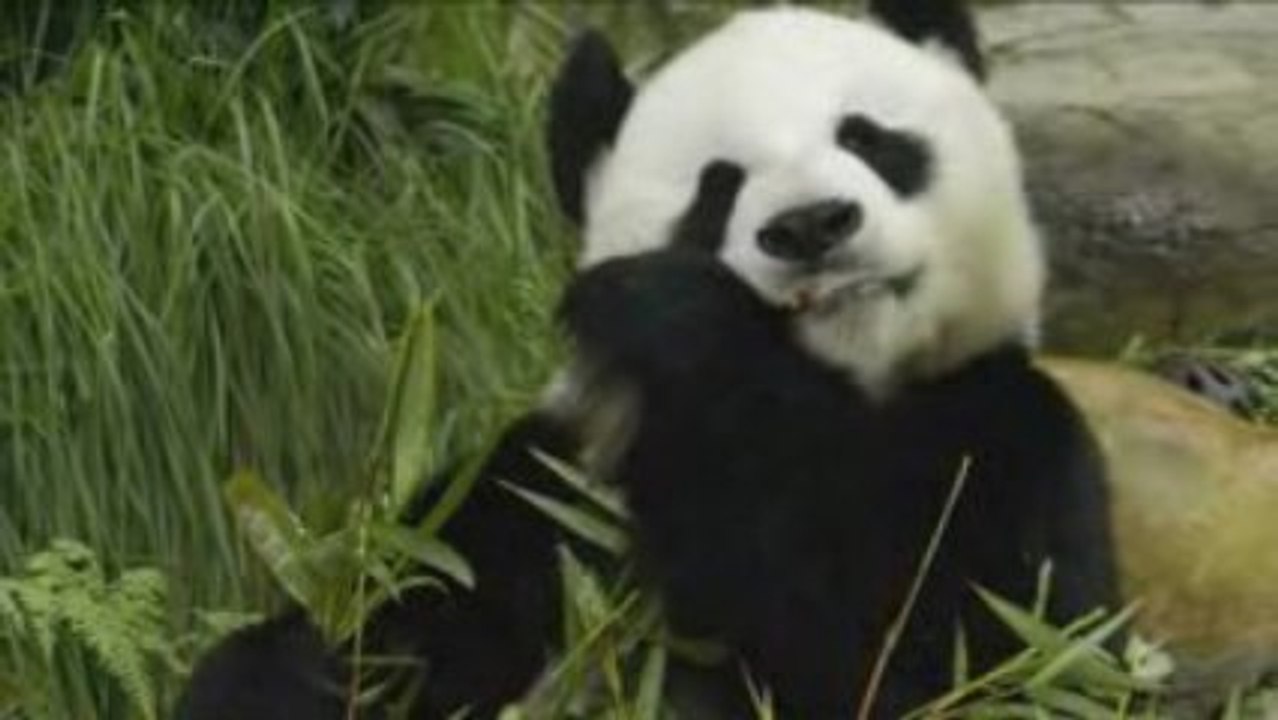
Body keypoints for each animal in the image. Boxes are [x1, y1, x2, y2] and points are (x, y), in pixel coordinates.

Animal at [177, 2, 1120, 719]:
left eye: (870, 138)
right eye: (718, 186)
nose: (810, 226)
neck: (845, 388)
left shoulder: (1004, 443)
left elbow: (957, 667)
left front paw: (683, 319)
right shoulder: (557, 484)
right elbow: (404, 617)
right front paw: (301, 674)